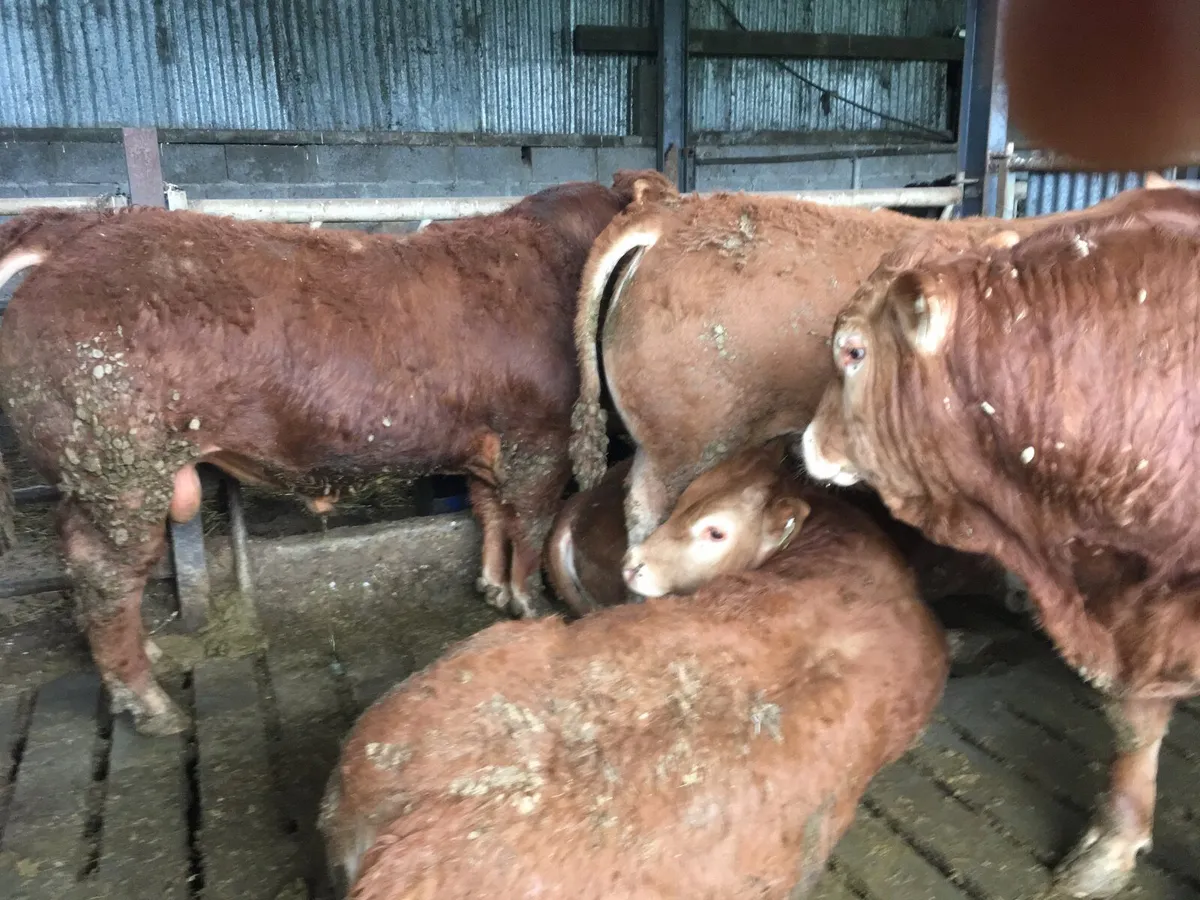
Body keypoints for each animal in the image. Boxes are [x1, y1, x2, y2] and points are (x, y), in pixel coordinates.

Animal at [0, 171, 667, 737]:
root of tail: (75, 232)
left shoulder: (490, 444)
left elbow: (490, 515)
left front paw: (491, 588)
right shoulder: (539, 439)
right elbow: (529, 523)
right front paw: (528, 604)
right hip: (121, 472)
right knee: (104, 576)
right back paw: (152, 705)